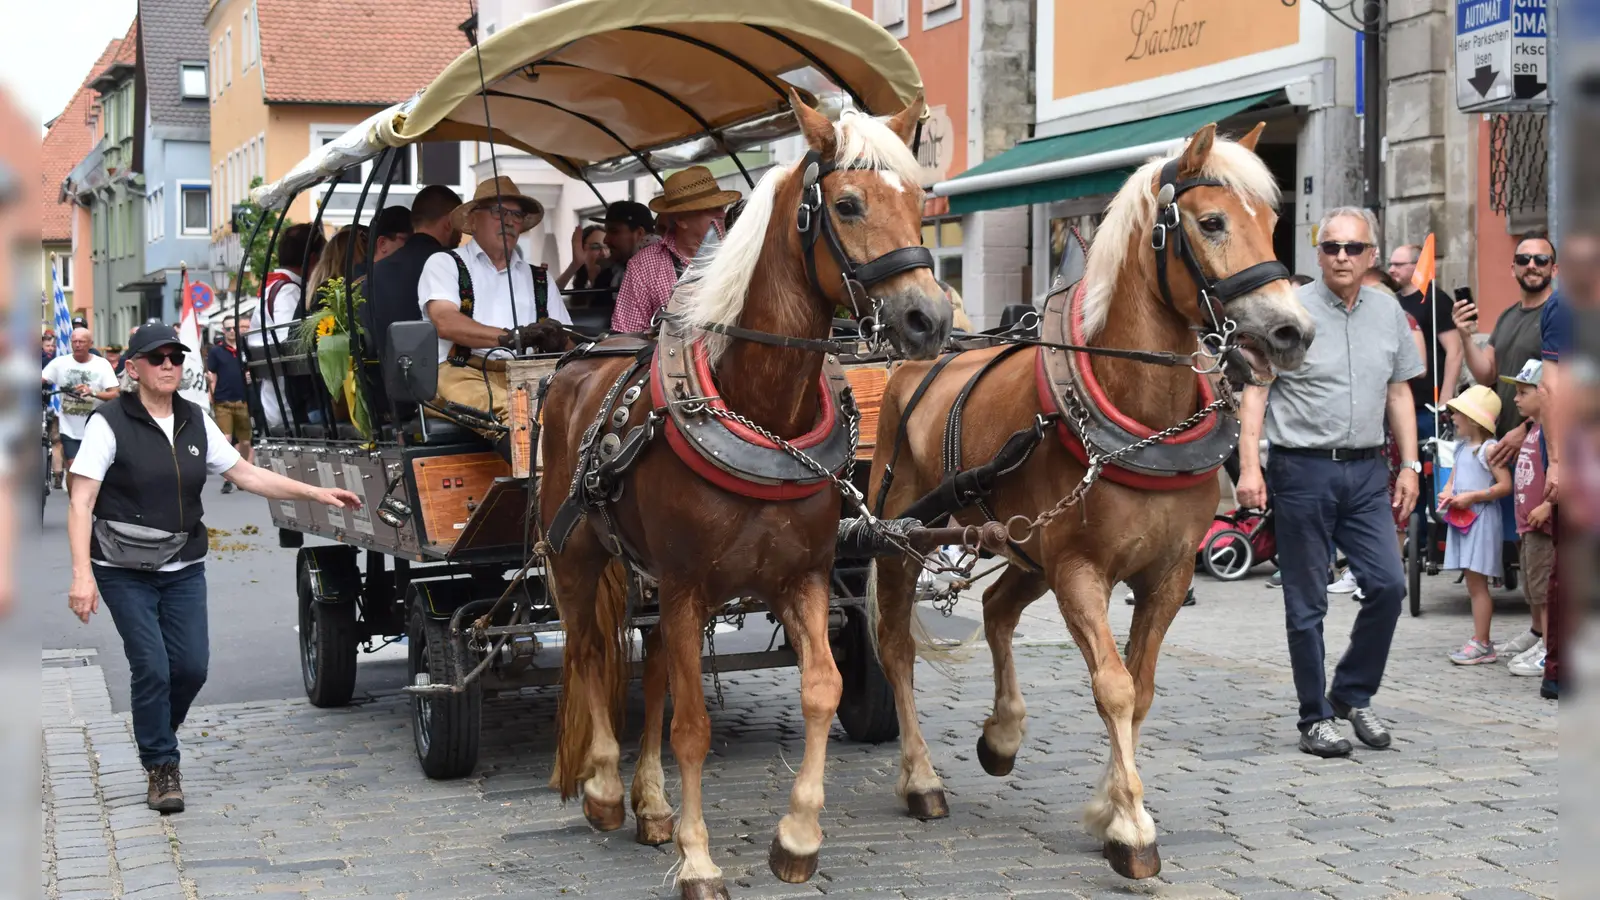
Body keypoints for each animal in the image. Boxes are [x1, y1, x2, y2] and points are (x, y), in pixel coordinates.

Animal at [544, 92, 953, 896]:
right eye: (848, 204)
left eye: (921, 201)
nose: (932, 318)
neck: (762, 412)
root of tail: (579, 358)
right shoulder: (686, 585)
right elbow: (693, 728)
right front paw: (700, 859)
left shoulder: (803, 577)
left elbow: (821, 686)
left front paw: (796, 837)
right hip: (578, 554)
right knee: (586, 651)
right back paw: (605, 789)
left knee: (652, 670)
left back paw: (651, 806)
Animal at [864, 124, 1312, 877]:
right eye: (1212, 222)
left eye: (1274, 222)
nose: (1293, 332)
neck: (1143, 419)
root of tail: (915, 361)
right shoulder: (1081, 570)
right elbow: (1114, 686)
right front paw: (1131, 826)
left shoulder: (1168, 573)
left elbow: (1142, 686)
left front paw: (1109, 804)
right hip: (904, 539)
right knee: (896, 649)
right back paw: (920, 778)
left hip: (1024, 545)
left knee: (996, 609)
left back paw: (1003, 736)